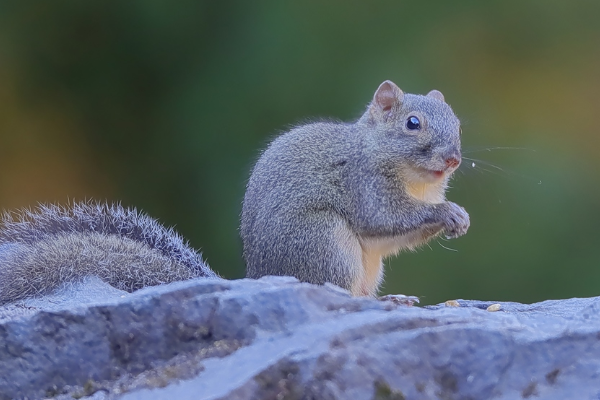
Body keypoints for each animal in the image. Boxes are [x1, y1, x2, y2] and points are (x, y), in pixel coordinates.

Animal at [0, 79, 468, 304]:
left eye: (458, 124)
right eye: (412, 123)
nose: (453, 160)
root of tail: (258, 277)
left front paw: (457, 217)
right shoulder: (364, 184)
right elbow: (384, 218)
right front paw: (447, 213)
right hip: (325, 243)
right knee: (332, 289)